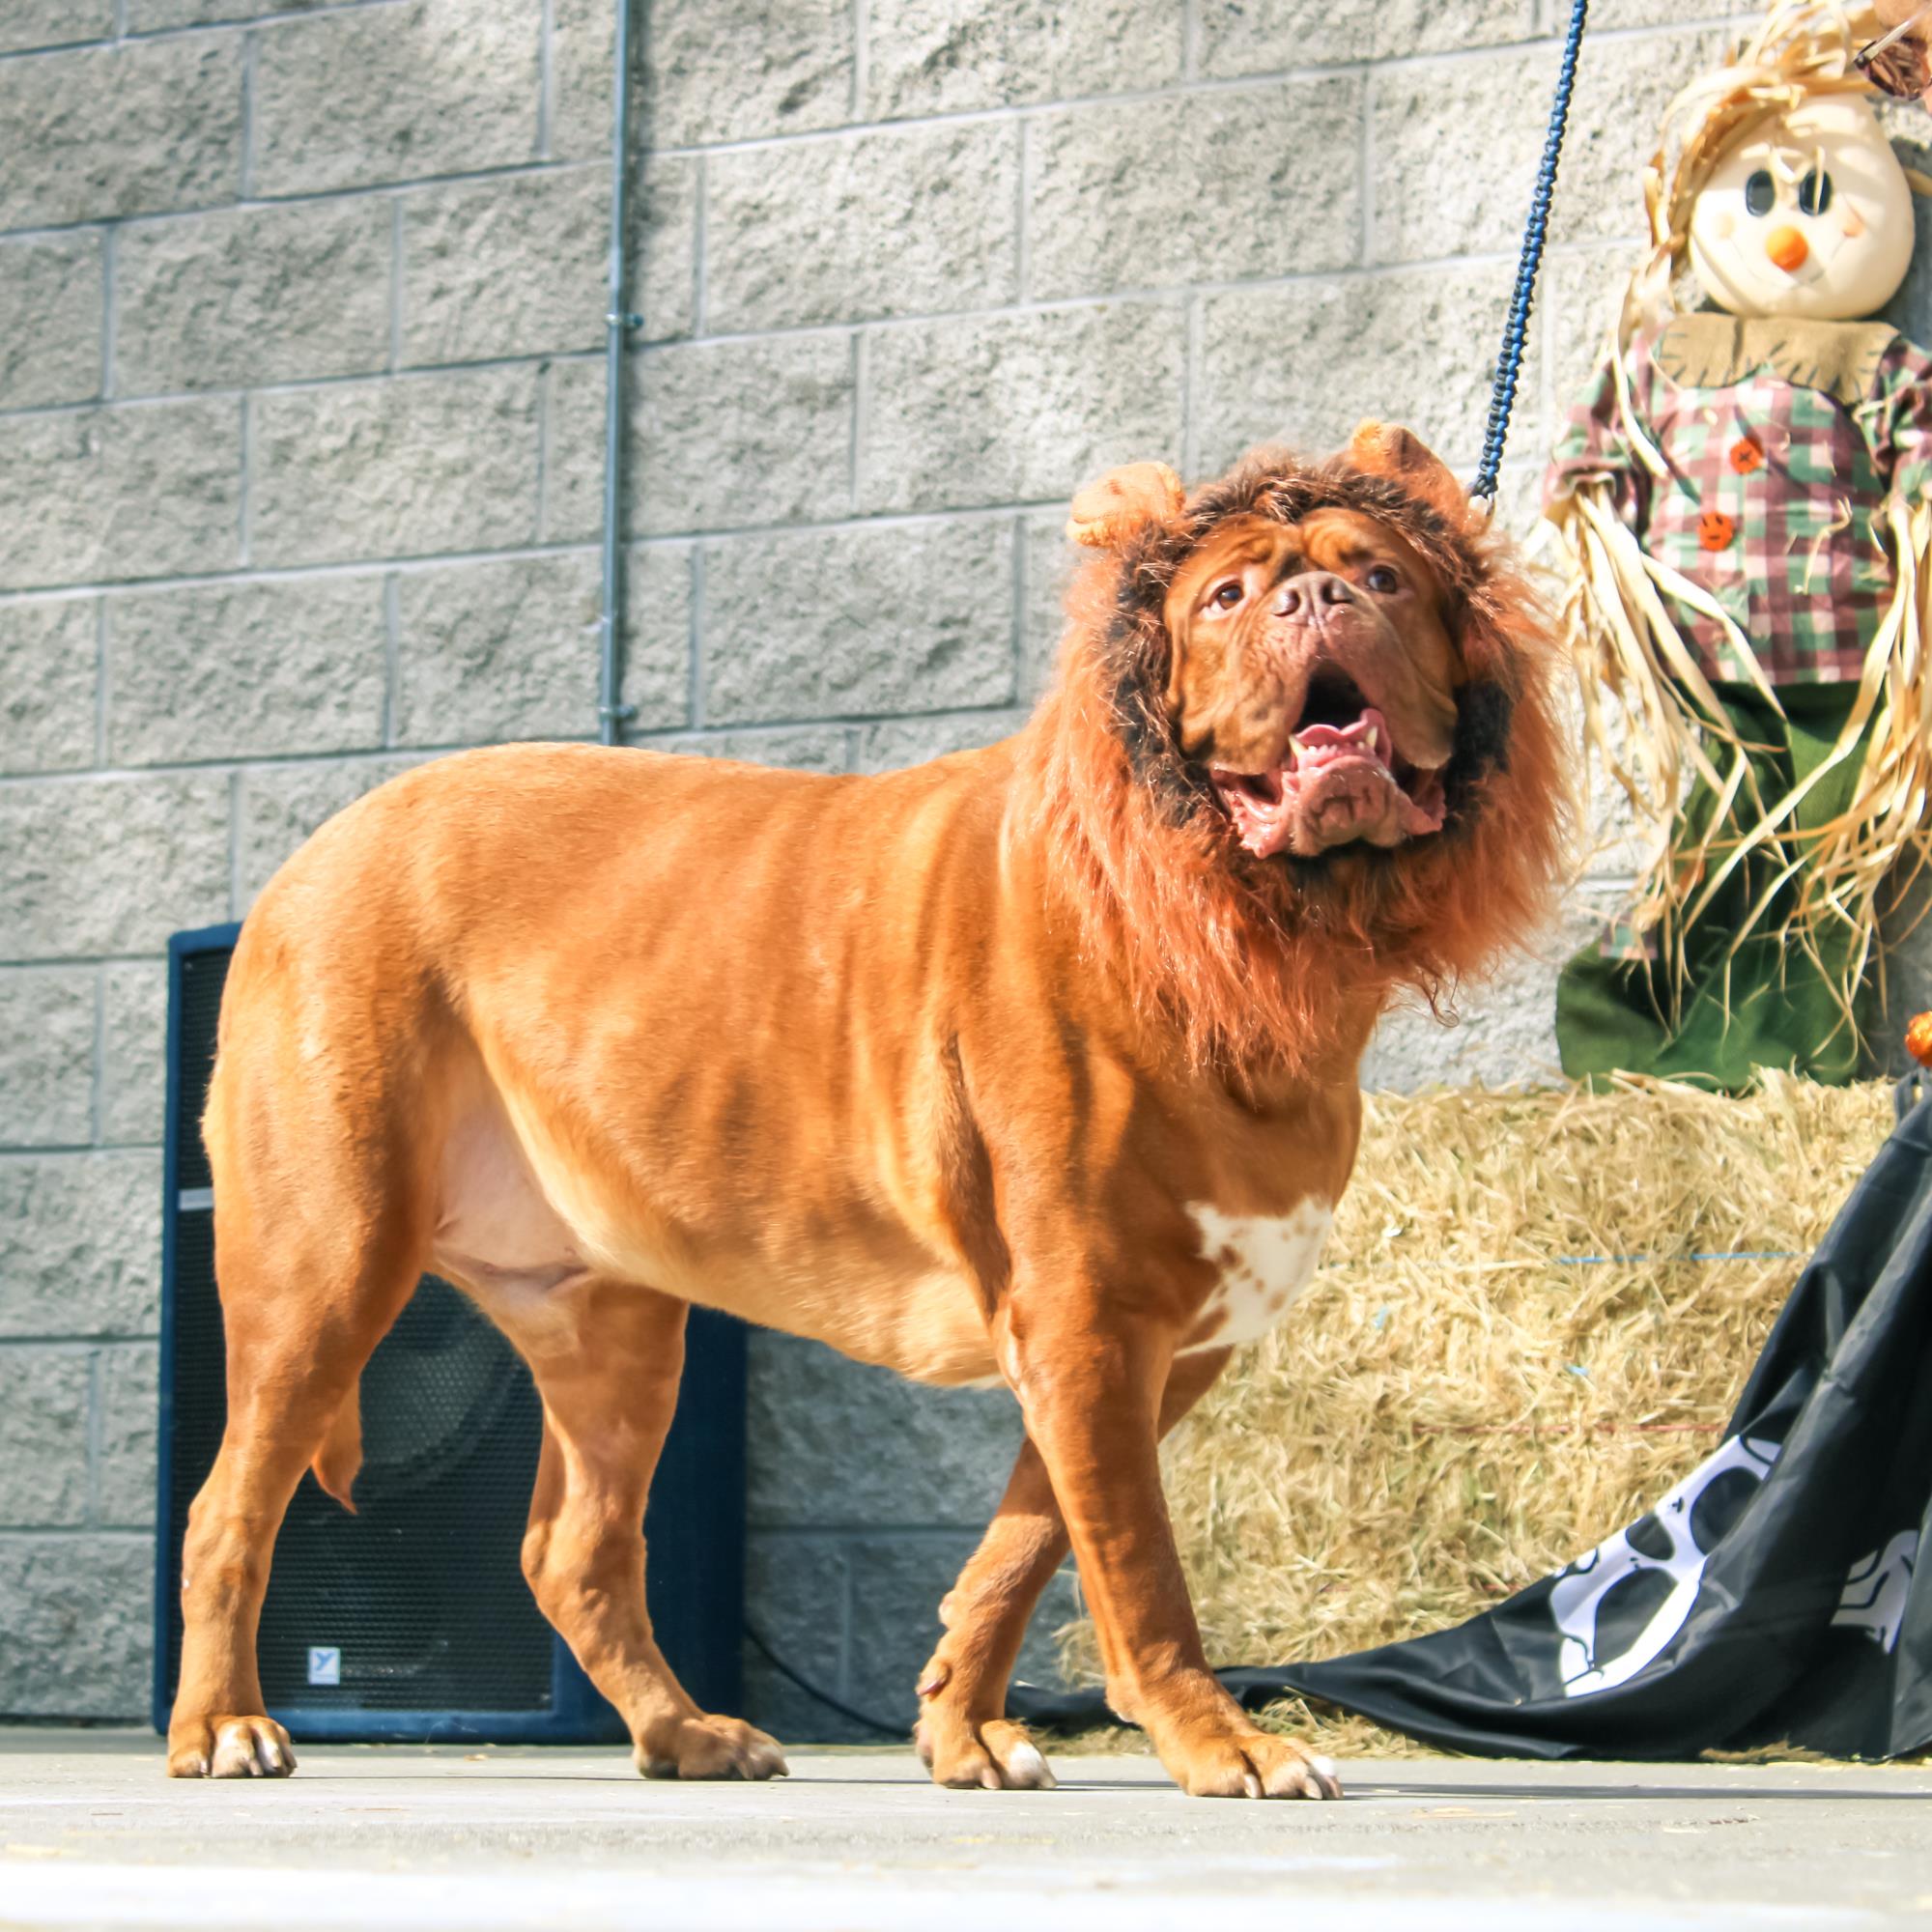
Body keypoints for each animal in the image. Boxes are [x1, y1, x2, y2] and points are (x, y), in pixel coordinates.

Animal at [170, 423, 1569, 1793]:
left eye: (1382, 574)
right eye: (1224, 597)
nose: (1320, 599)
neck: (1225, 927)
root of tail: (310, 853)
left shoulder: (1146, 1348)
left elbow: (1025, 1543)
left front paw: (962, 1726)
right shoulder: (1087, 1322)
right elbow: (1136, 1564)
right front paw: (1217, 1741)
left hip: (611, 1327)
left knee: (572, 1552)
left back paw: (686, 1735)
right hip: (324, 1269)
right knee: (227, 1509)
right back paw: (223, 1727)